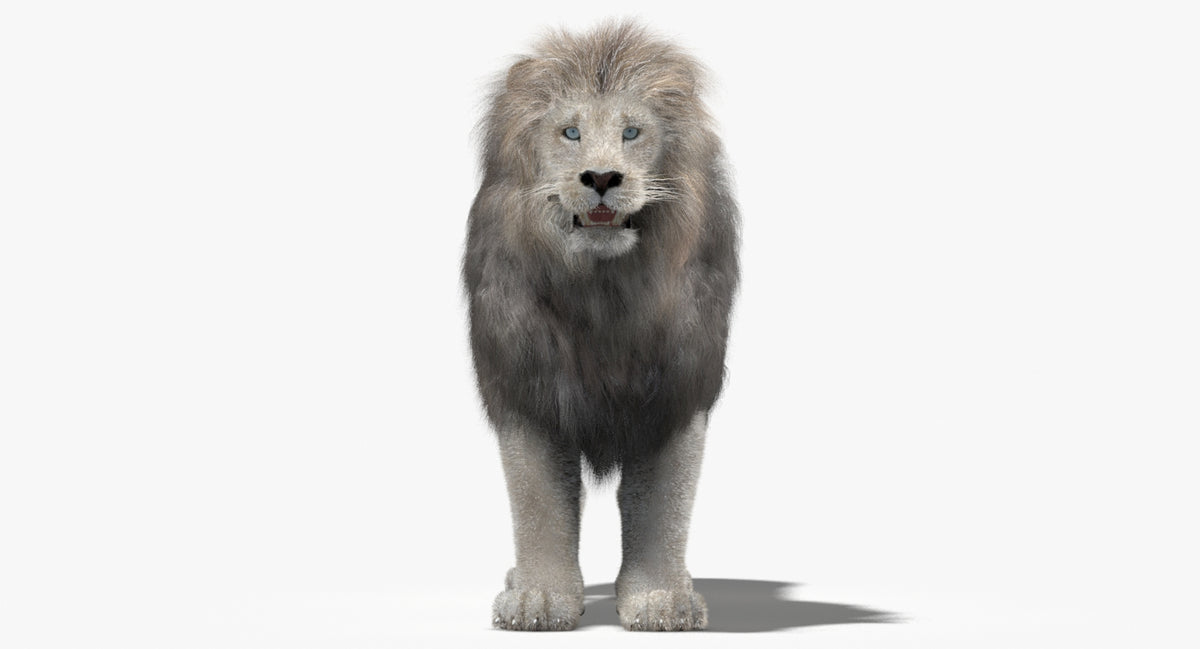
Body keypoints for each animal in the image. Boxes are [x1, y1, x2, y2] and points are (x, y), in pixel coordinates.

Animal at [463, 21, 739, 631]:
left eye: (632, 132)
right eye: (570, 132)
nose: (603, 177)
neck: (603, 294)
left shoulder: (676, 393)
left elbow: (662, 507)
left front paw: (660, 600)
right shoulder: (527, 388)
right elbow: (538, 503)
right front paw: (539, 599)